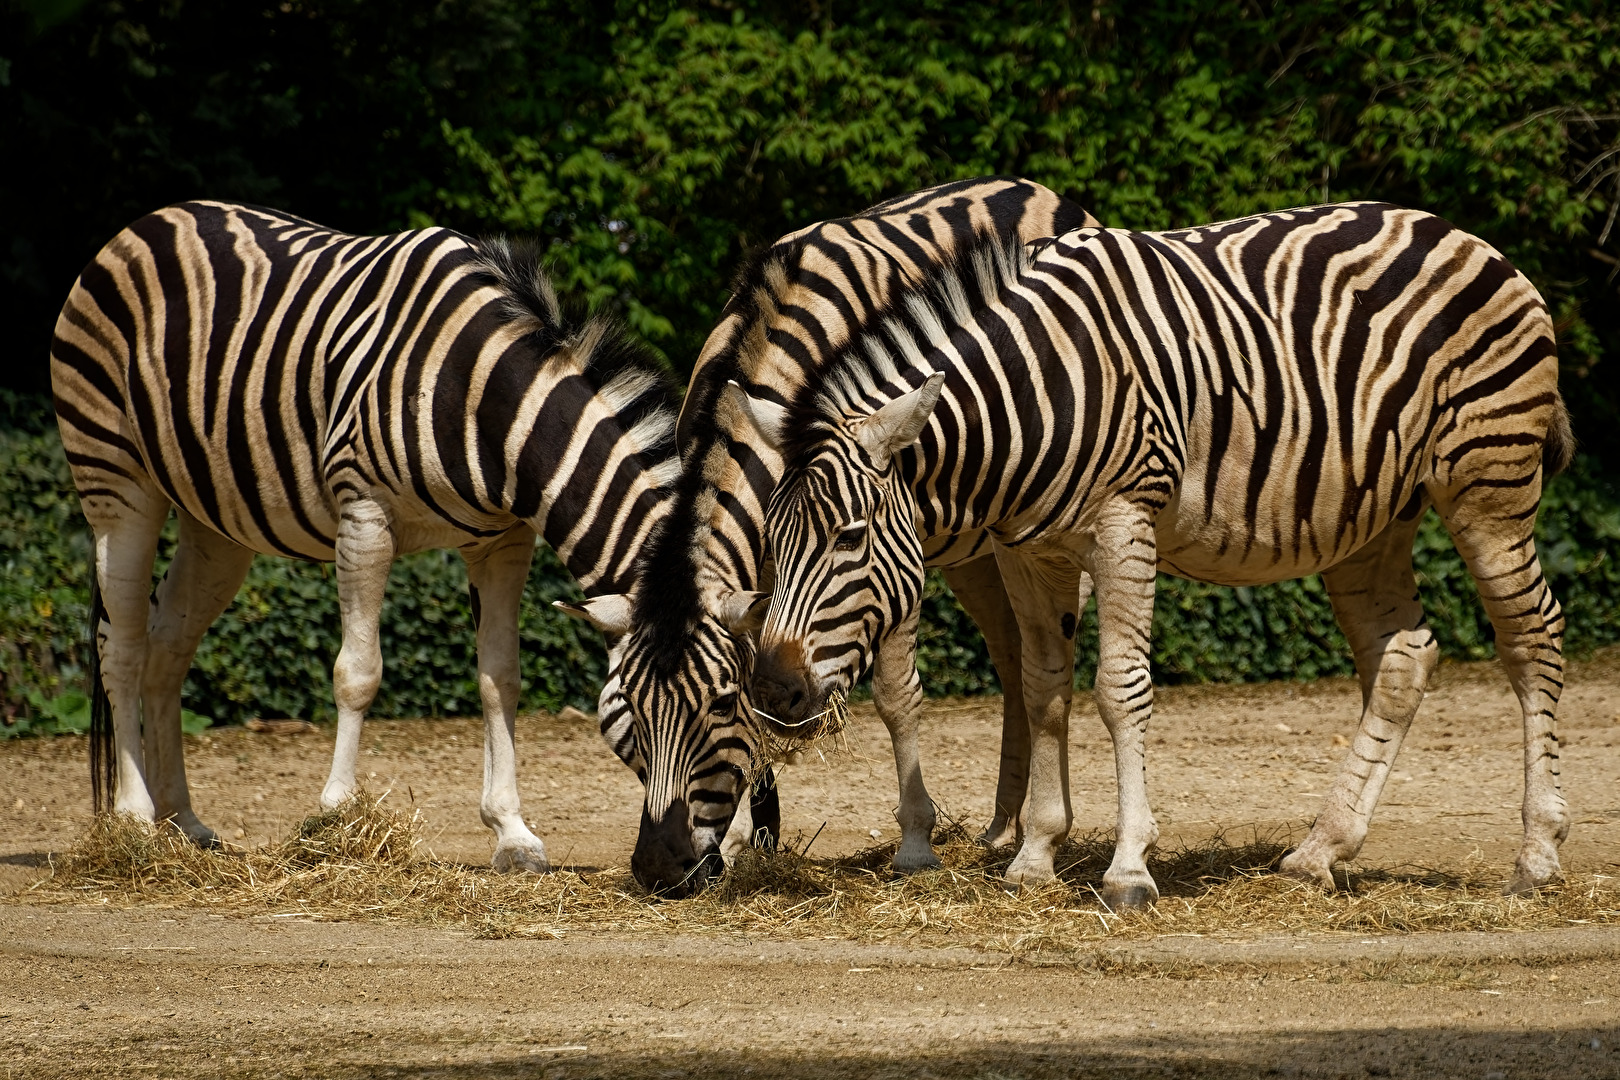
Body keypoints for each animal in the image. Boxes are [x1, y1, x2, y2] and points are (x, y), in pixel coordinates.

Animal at [50, 200, 682, 871]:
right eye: (644, 706)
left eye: (727, 702)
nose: (682, 869)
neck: (484, 398)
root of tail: (154, 218)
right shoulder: (364, 518)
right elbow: (358, 673)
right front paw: (334, 816)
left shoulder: (503, 542)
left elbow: (501, 679)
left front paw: (512, 832)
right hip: (115, 482)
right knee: (120, 645)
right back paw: (135, 820)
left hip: (215, 523)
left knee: (167, 649)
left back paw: (184, 823)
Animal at [561, 177, 1097, 894]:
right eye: (631, 715)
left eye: (717, 707)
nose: (660, 868)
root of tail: (1029, 185)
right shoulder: (769, 575)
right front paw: (740, 841)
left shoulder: (892, 559)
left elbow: (897, 698)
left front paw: (915, 843)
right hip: (975, 555)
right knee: (1013, 658)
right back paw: (1003, 826)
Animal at [737, 202, 1574, 908]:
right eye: (772, 543)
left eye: (849, 536)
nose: (774, 687)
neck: (1032, 396)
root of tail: (1468, 237)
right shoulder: (1030, 555)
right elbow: (1043, 691)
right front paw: (1035, 856)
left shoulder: (1123, 525)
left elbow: (1120, 688)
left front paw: (1130, 868)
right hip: (1370, 521)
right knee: (1402, 659)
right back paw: (1320, 851)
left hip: (1487, 482)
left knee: (1533, 639)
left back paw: (1536, 856)